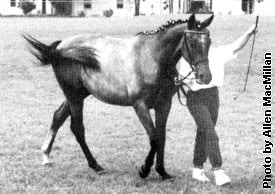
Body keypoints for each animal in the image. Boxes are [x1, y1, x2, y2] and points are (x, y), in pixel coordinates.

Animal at [23, 14, 215, 180]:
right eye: (192, 42)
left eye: (209, 42)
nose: (205, 77)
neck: (152, 57)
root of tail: (59, 47)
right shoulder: (140, 106)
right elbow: (154, 138)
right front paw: (144, 169)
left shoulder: (164, 105)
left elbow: (161, 137)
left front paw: (162, 172)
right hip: (74, 96)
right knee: (77, 129)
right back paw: (95, 165)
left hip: (77, 95)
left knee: (58, 117)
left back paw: (46, 156)